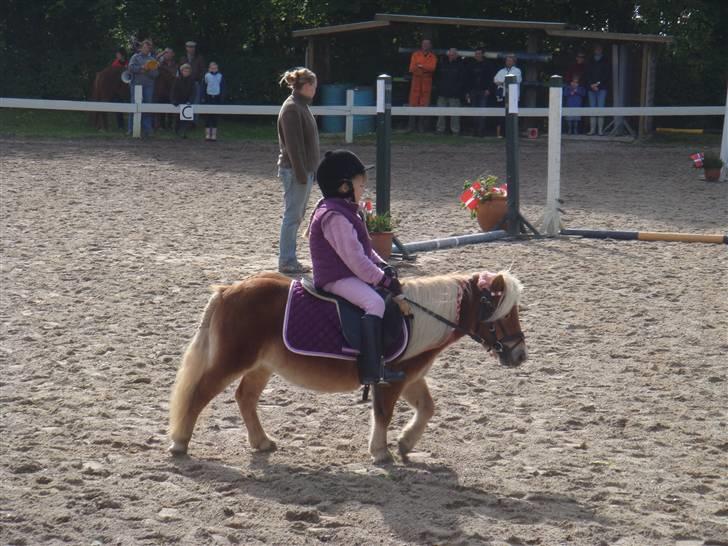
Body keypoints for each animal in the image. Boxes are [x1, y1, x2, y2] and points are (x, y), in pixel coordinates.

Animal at [168, 270, 528, 462]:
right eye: (505, 311)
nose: (520, 355)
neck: (418, 319)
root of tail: (229, 289)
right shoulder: (391, 381)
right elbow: (383, 414)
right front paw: (381, 451)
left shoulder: (410, 378)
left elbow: (427, 408)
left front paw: (406, 443)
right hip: (231, 361)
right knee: (199, 395)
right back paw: (180, 442)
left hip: (261, 365)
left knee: (245, 398)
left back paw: (262, 442)